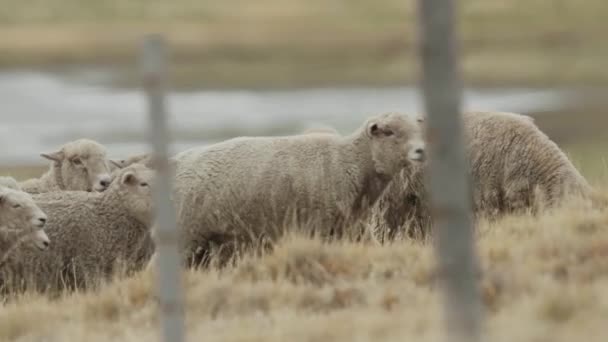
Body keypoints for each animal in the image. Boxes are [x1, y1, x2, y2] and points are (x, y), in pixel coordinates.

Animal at [166, 113, 428, 268]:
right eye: (389, 132)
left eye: (418, 130)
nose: (421, 150)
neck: (350, 160)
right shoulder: (319, 225)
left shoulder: (349, 228)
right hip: (184, 233)